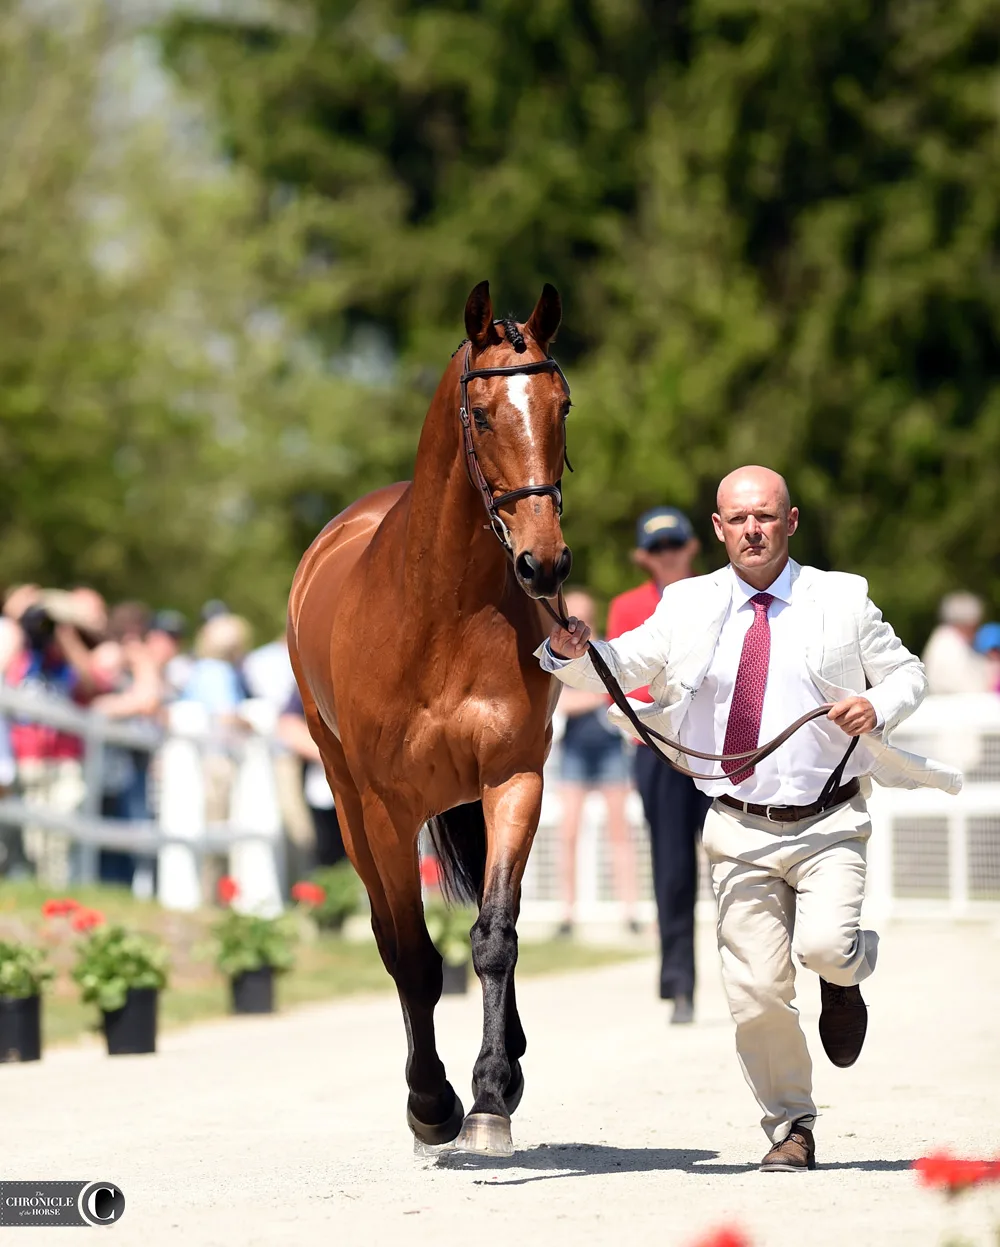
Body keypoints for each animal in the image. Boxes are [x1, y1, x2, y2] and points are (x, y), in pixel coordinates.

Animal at [287, 280, 572, 1156]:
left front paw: (490, 1095)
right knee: (389, 937)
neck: (444, 611)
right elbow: (413, 955)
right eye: (480, 413)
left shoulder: (513, 779)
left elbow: (494, 934)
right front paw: (434, 1103)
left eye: (561, 405)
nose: (545, 563)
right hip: (347, 804)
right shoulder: (387, 809)